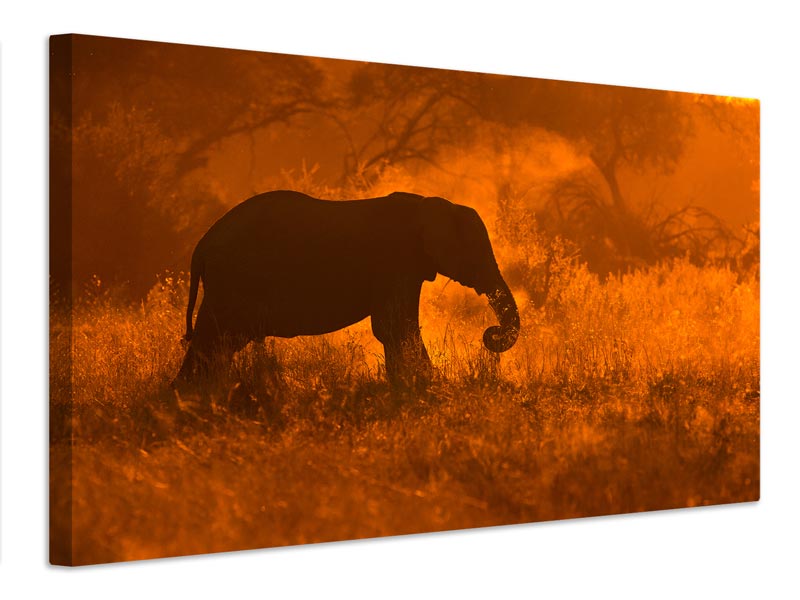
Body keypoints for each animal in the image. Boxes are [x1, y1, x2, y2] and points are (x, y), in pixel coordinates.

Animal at [174, 190, 520, 387]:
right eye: (476, 253)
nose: (490, 335)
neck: (426, 204)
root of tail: (201, 247)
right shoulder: (395, 262)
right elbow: (395, 327)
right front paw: (426, 385)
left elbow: (395, 328)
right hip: (232, 281)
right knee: (215, 340)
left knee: (219, 343)